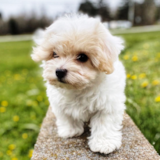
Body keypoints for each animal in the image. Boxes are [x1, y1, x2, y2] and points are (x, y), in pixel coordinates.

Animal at [31, 14, 126, 154]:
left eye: (82, 57)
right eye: (54, 54)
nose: (59, 71)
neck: (79, 89)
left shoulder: (108, 105)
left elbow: (104, 123)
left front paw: (104, 143)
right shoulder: (59, 103)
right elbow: (67, 116)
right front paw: (70, 130)